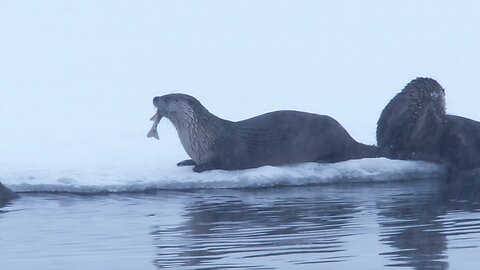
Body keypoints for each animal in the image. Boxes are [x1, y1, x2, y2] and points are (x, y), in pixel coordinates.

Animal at [147, 94, 378, 172]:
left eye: (170, 97)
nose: (155, 97)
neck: (201, 138)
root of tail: (347, 136)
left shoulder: (230, 153)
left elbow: (223, 164)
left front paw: (199, 168)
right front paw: (185, 162)